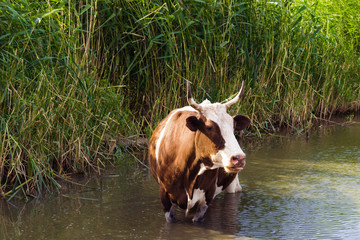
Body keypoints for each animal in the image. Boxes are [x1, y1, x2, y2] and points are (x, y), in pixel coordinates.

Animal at [147, 81, 250, 222]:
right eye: (209, 127)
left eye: (233, 126)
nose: (239, 158)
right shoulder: (165, 197)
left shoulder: (206, 198)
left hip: (233, 183)